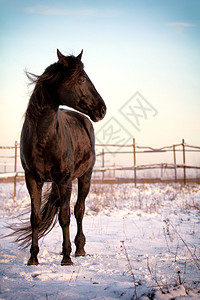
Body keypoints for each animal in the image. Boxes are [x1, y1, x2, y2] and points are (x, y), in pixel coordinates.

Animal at [16, 50, 106, 266]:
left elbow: (65, 216)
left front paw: (66, 257)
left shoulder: (64, 179)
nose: (102, 109)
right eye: (82, 79)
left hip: (84, 177)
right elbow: (35, 218)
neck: (44, 138)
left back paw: (79, 249)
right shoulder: (33, 179)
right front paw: (33, 258)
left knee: (79, 210)